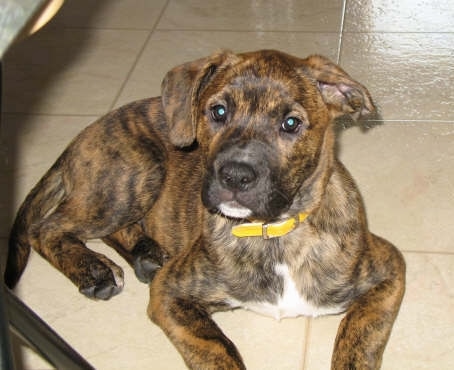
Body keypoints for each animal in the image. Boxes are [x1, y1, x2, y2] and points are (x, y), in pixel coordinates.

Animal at [5, 49, 406, 370]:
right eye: (218, 111)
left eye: (291, 123)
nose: (235, 175)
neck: (272, 235)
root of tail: (82, 135)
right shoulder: (170, 295)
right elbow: (215, 347)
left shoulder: (389, 272)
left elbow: (357, 335)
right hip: (137, 171)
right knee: (47, 227)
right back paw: (94, 270)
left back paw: (145, 255)